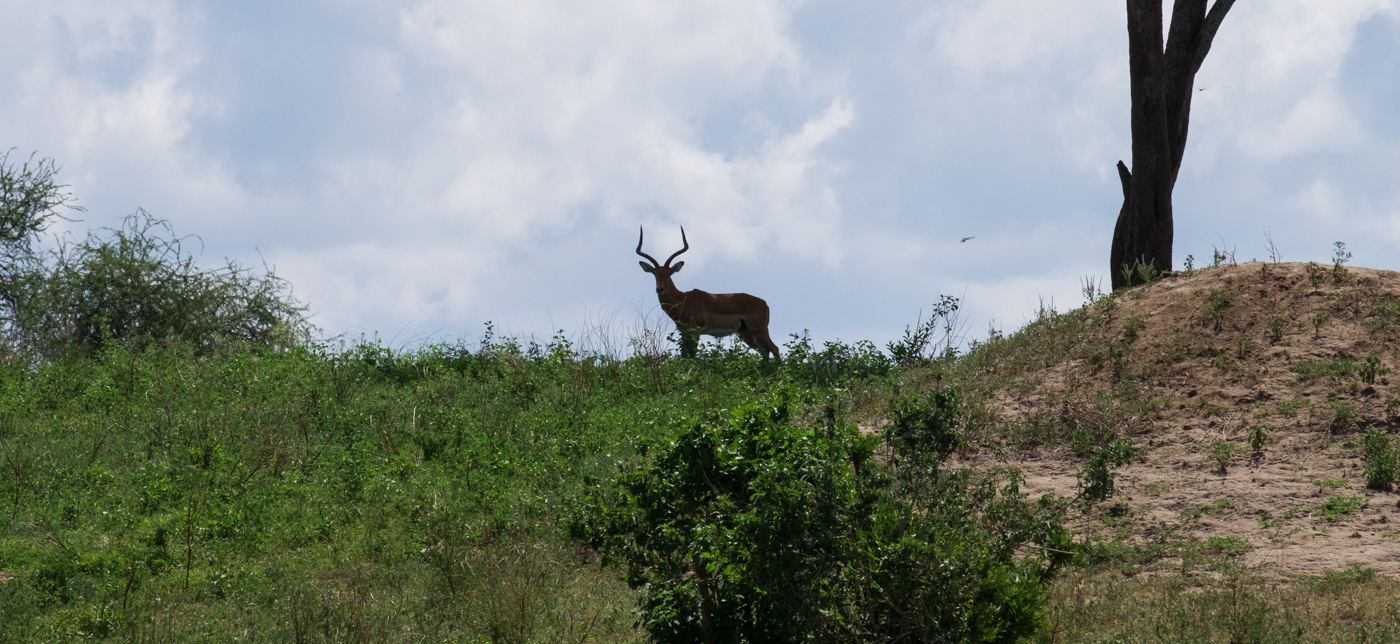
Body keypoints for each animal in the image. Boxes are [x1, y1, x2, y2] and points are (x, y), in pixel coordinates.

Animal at [636, 226, 782, 362]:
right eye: (655, 274)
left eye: (668, 274)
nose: (659, 289)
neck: (682, 299)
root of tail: (764, 304)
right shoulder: (684, 332)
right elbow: (684, 356)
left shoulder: (695, 332)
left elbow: (692, 356)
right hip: (745, 333)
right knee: (764, 350)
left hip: (759, 330)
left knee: (774, 348)